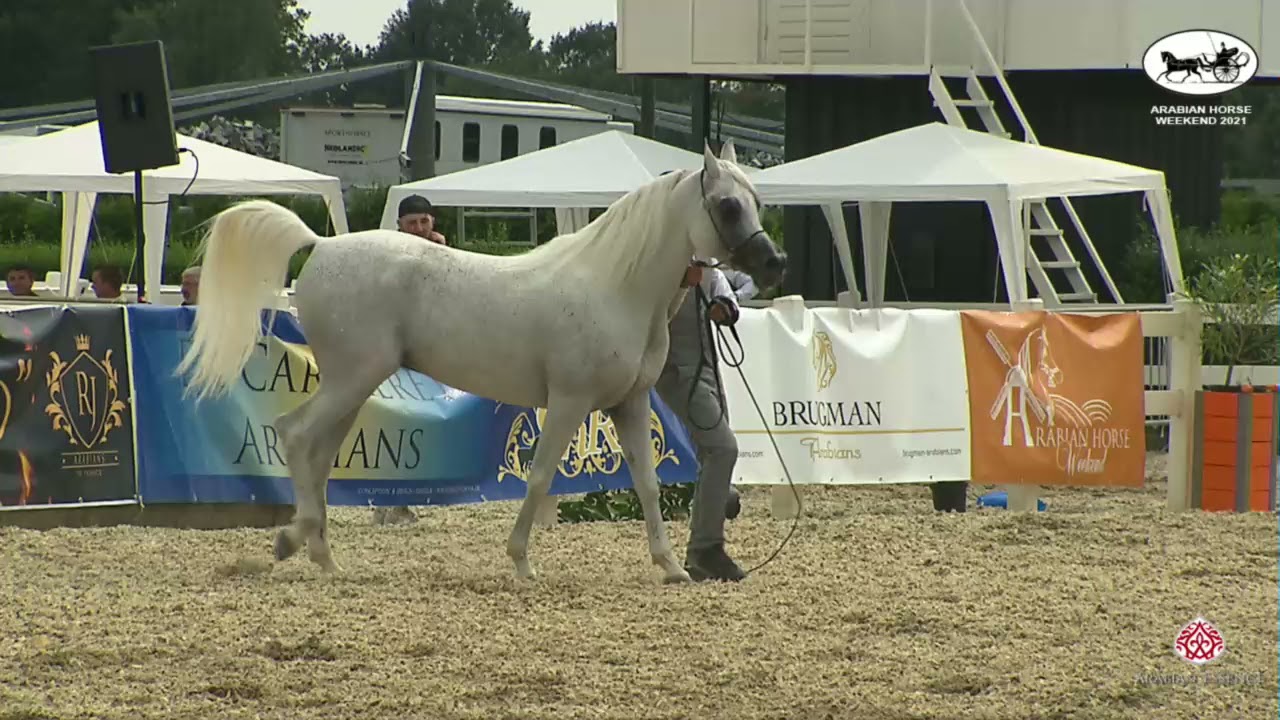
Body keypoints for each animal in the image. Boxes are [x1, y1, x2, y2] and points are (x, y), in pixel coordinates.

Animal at [175, 140, 787, 584]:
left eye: (757, 201)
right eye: (728, 204)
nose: (774, 263)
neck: (615, 285)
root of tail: (320, 246)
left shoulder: (629, 405)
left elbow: (648, 485)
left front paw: (672, 567)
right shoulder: (569, 402)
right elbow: (539, 477)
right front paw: (521, 562)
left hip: (352, 385)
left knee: (318, 454)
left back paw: (323, 557)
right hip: (352, 379)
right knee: (296, 436)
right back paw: (294, 542)